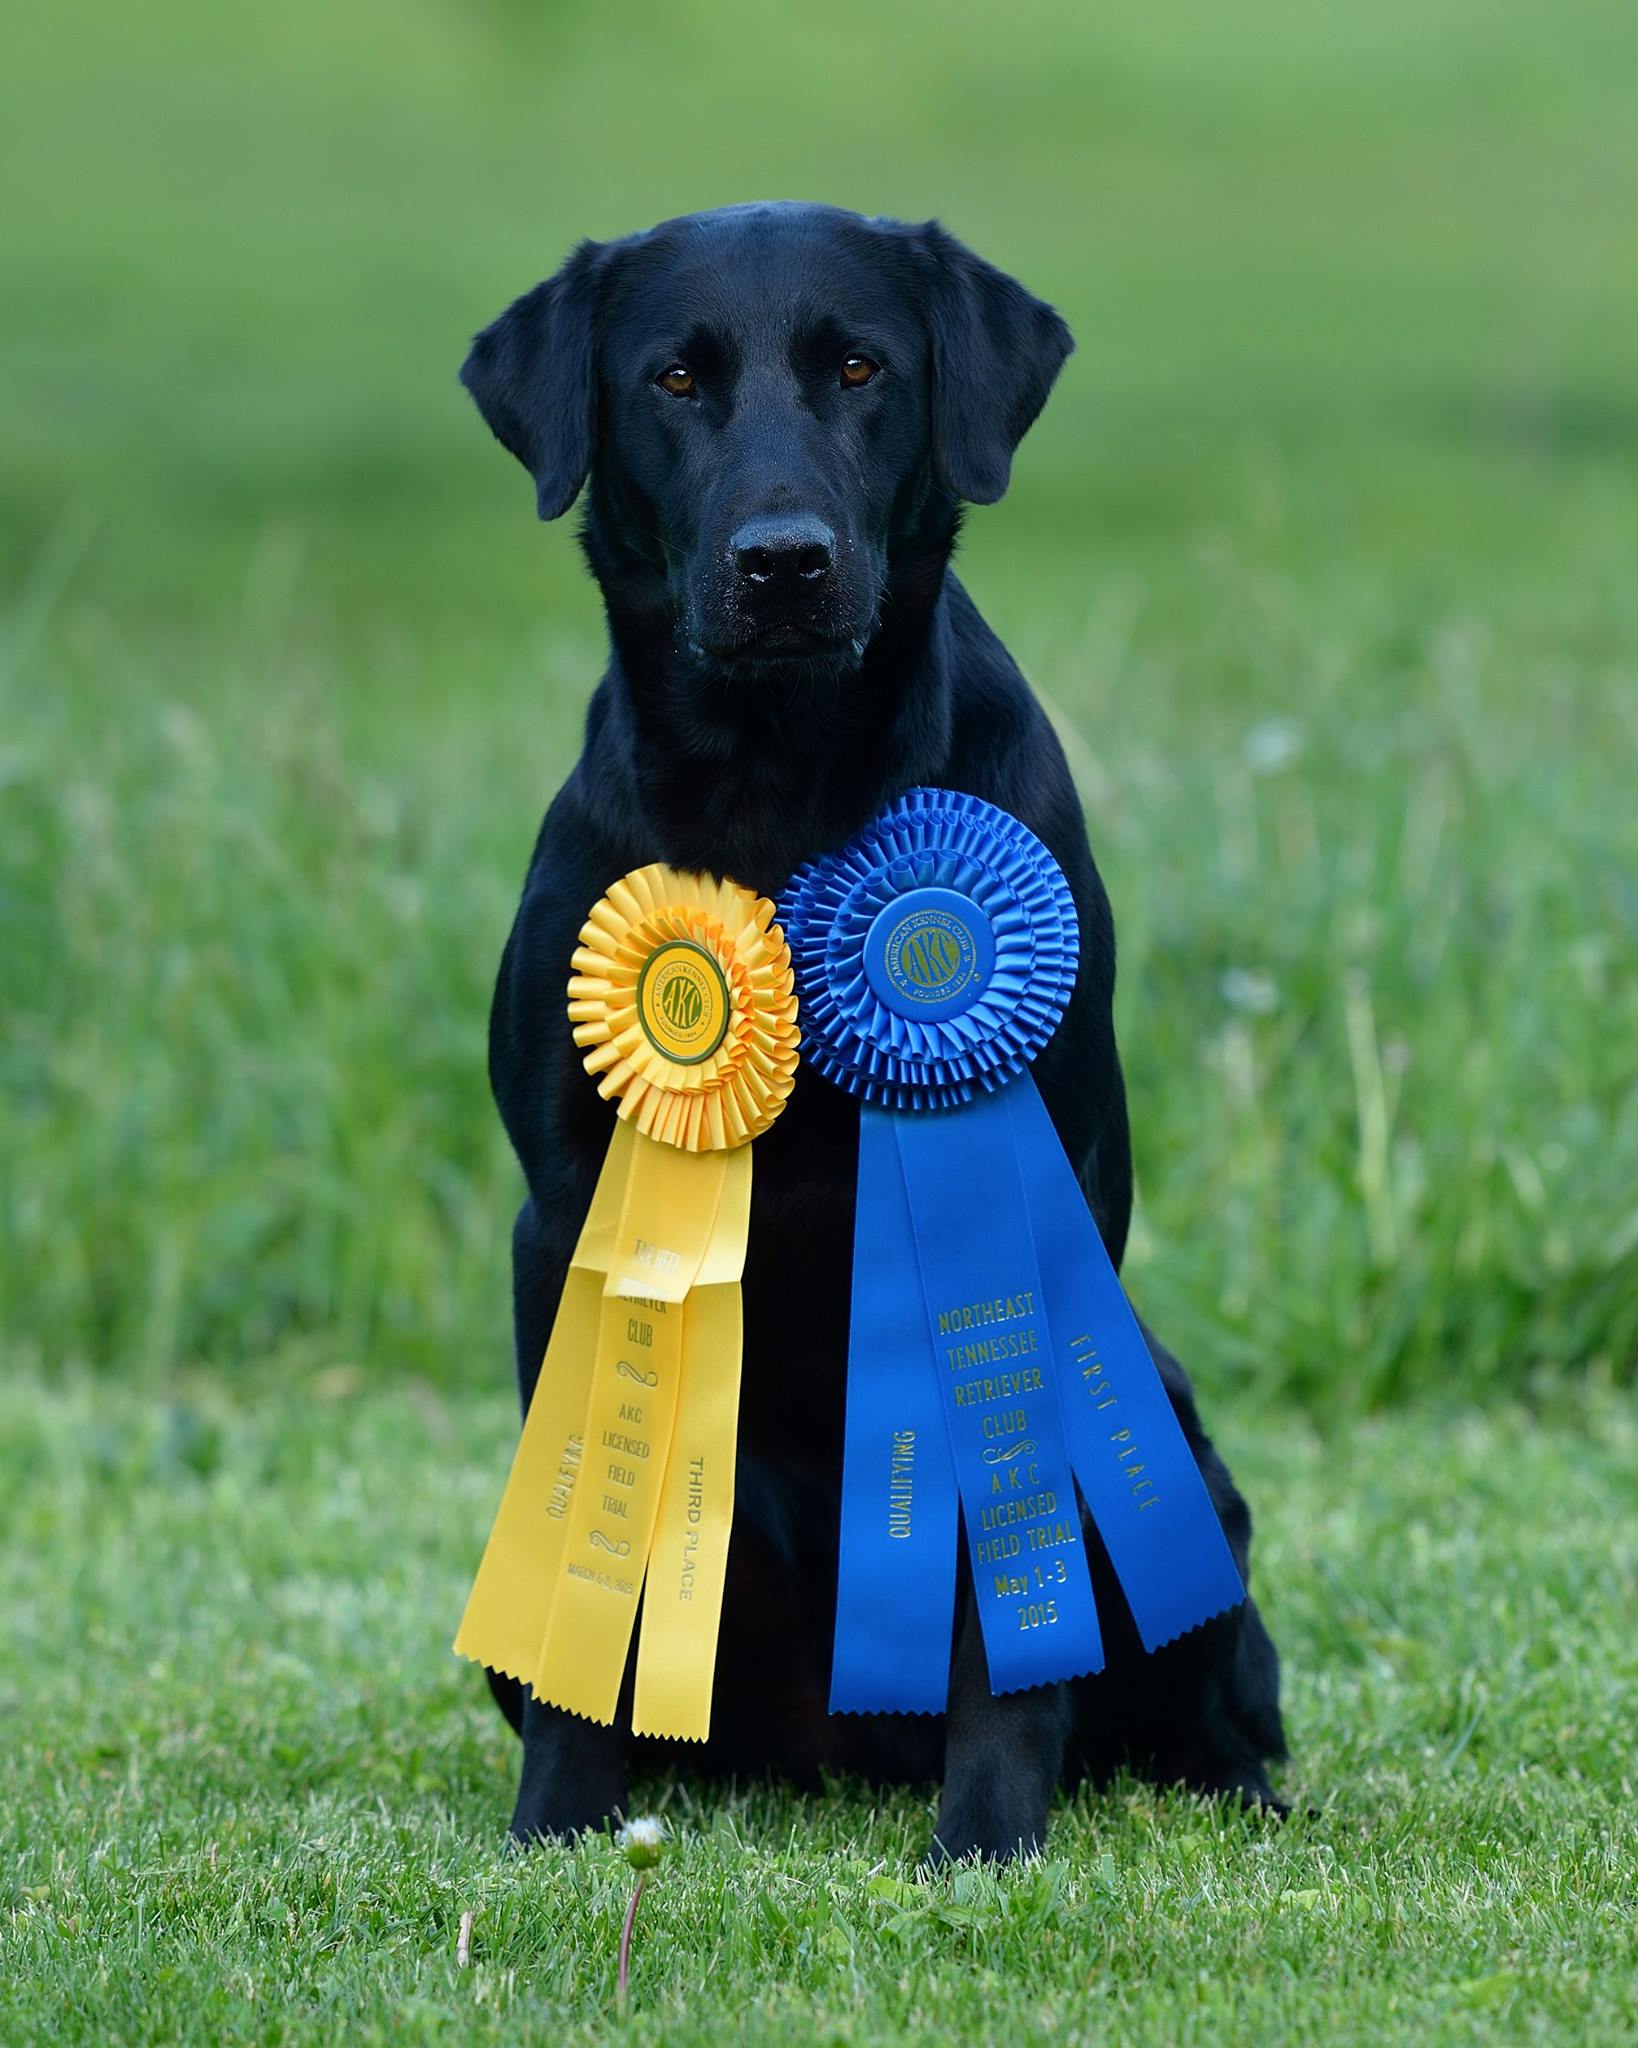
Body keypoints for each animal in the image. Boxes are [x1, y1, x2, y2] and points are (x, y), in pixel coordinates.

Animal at [454, 195, 1285, 1859]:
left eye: (857, 367)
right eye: (674, 379)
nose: (783, 563)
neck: (780, 797)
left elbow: (994, 1611)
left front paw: (987, 1843)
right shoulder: (564, 1215)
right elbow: (590, 1575)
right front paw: (559, 1828)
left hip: (1177, 1462)